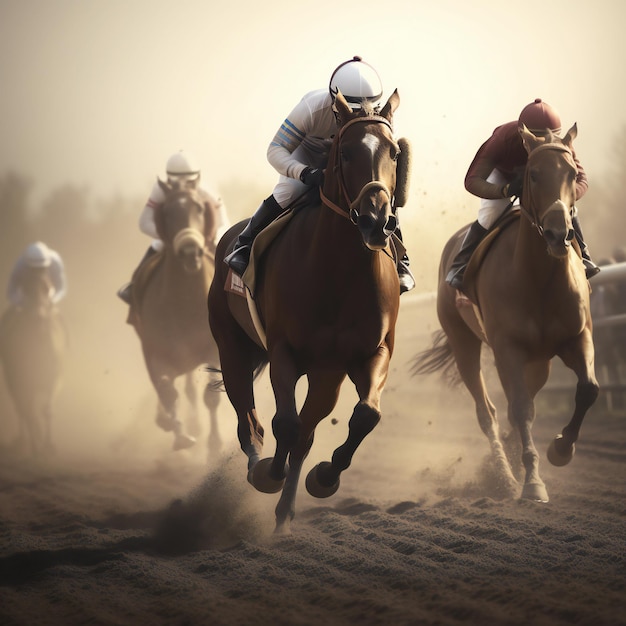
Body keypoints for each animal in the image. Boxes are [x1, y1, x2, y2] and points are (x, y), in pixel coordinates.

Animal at [0, 266, 67, 454]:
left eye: (47, 287)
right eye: (25, 287)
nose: (38, 315)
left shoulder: (54, 378)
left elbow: (47, 410)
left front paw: (49, 446)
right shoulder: (23, 382)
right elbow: (28, 410)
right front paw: (36, 447)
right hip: (12, 381)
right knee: (21, 408)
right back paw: (24, 440)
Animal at [128, 178, 221, 450]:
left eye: (199, 207)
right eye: (167, 211)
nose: (190, 251)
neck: (186, 304)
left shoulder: (214, 348)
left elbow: (211, 393)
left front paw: (214, 444)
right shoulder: (154, 351)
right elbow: (166, 390)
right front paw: (181, 435)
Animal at [207, 91, 402, 532]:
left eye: (395, 152)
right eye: (345, 152)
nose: (376, 220)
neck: (339, 273)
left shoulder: (370, 353)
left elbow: (365, 416)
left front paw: (325, 477)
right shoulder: (284, 350)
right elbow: (286, 423)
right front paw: (268, 475)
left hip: (326, 375)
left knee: (307, 434)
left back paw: (285, 514)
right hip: (231, 345)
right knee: (250, 421)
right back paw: (258, 468)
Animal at [412, 124, 596, 500]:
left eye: (572, 173)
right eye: (533, 174)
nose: (558, 234)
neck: (539, 278)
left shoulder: (578, 336)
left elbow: (588, 389)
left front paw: (561, 449)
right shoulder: (507, 349)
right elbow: (520, 409)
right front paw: (532, 483)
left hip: (539, 359)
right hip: (464, 343)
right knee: (488, 412)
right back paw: (503, 474)